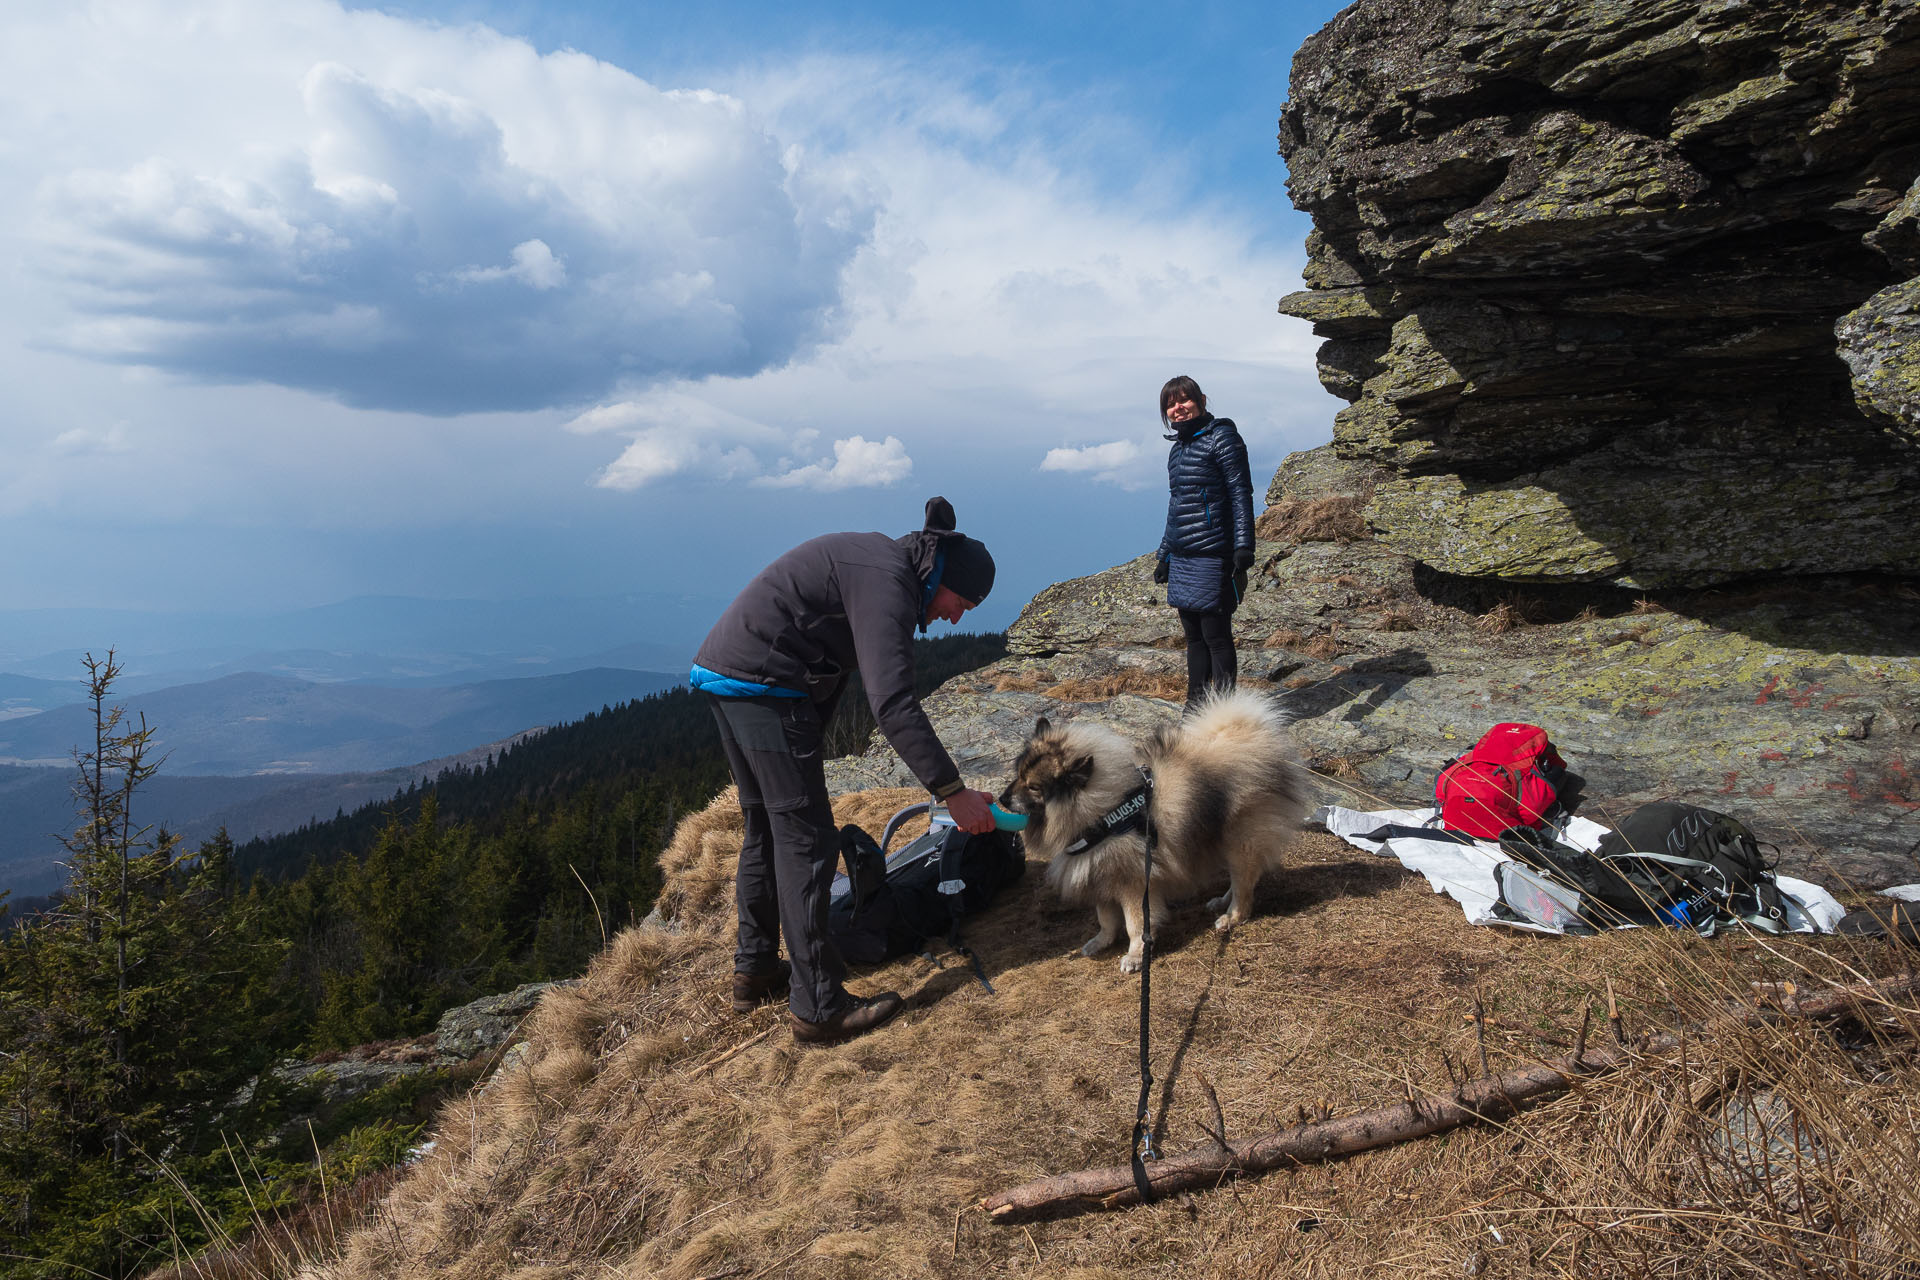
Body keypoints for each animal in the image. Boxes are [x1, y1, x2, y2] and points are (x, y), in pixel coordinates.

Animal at [1006, 690, 1305, 971]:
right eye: (1018, 776)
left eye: (1034, 787)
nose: (1002, 798)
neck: (1102, 810)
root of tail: (1254, 740)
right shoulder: (1100, 876)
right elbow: (1106, 920)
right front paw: (1101, 942)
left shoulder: (1133, 884)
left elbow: (1134, 926)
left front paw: (1135, 956)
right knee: (1238, 879)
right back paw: (1221, 900)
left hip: (1241, 843)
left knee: (1245, 885)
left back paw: (1232, 916)